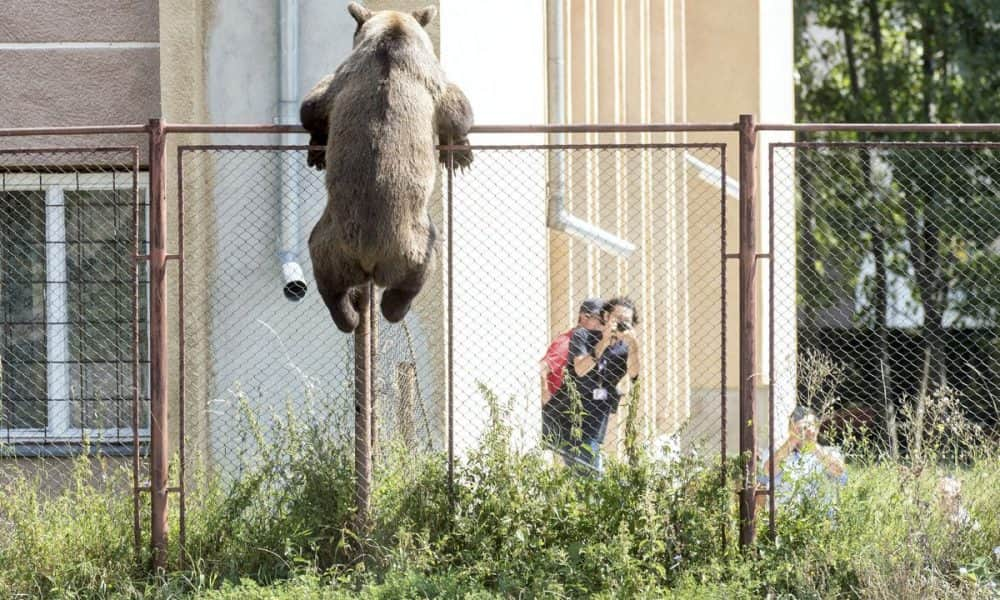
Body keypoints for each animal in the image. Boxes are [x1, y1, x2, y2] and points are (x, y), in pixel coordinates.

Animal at [300, 1, 472, 332]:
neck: (392, 33)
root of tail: (368, 257)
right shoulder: (426, 76)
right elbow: (456, 106)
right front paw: (461, 153)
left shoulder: (343, 81)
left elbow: (313, 107)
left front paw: (317, 151)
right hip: (409, 242)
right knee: (421, 267)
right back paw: (391, 307)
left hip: (331, 241)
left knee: (327, 278)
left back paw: (348, 314)